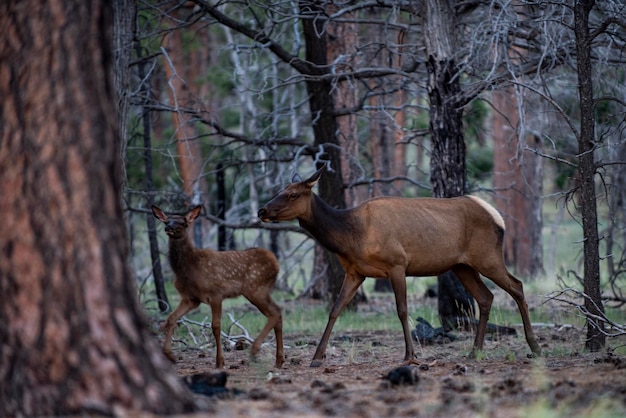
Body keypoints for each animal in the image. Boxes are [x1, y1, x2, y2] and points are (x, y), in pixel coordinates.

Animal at [151, 206, 282, 370]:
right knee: (278, 311)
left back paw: (254, 350)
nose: (168, 228)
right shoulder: (190, 298)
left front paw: (220, 361)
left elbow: (216, 326)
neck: (188, 268)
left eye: (183, 222)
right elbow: (171, 318)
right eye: (167, 220)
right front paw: (169, 354)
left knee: (275, 312)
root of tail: (276, 263)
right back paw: (279, 360)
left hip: (256, 288)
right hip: (260, 290)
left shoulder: (216, 293)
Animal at [256, 168, 540, 368]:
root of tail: (498, 217)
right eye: (281, 189)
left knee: (517, 286)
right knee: (486, 297)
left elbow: (402, 310)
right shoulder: (355, 272)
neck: (351, 236)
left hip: (488, 257)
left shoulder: (397, 264)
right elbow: (335, 309)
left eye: (293, 194)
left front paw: (410, 355)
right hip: (462, 266)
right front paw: (317, 357)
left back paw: (534, 346)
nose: (262, 210)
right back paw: (475, 350)